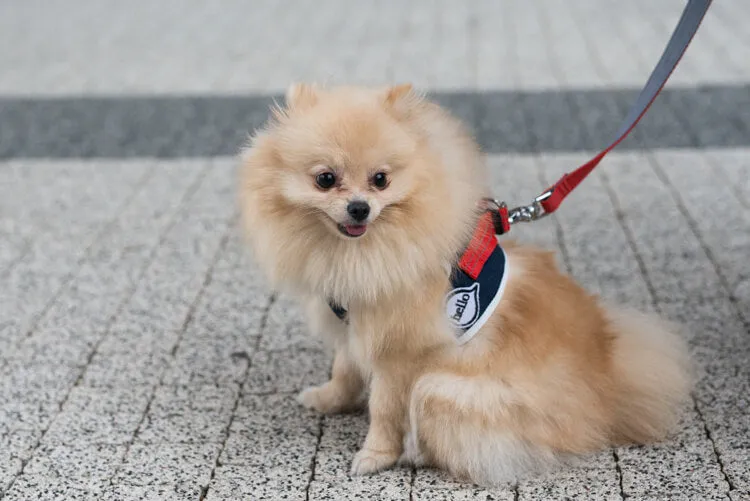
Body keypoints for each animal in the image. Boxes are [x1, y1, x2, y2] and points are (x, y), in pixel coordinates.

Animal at [241, 83, 692, 484]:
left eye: (381, 179)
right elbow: (345, 369)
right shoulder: (355, 325)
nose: (359, 207)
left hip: (442, 390)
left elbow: (384, 408)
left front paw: (374, 456)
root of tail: (608, 388)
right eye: (326, 179)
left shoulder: (399, 352)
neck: (362, 253)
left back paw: (415, 453)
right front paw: (328, 399)